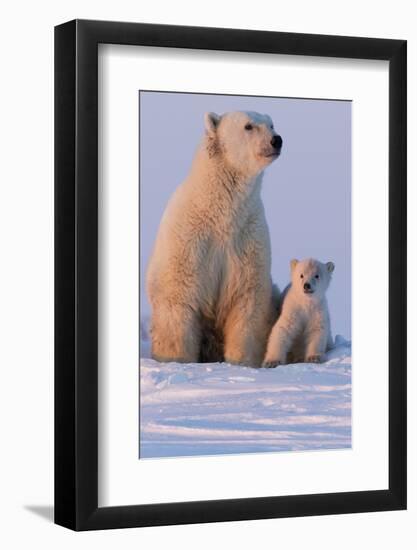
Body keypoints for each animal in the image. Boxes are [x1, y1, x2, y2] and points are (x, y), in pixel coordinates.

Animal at [146, 110, 282, 368]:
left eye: (271, 124)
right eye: (248, 126)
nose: (276, 140)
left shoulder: (248, 237)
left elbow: (247, 300)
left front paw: (242, 362)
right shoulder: (189, 238)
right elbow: (178, 296)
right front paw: (176, 359)